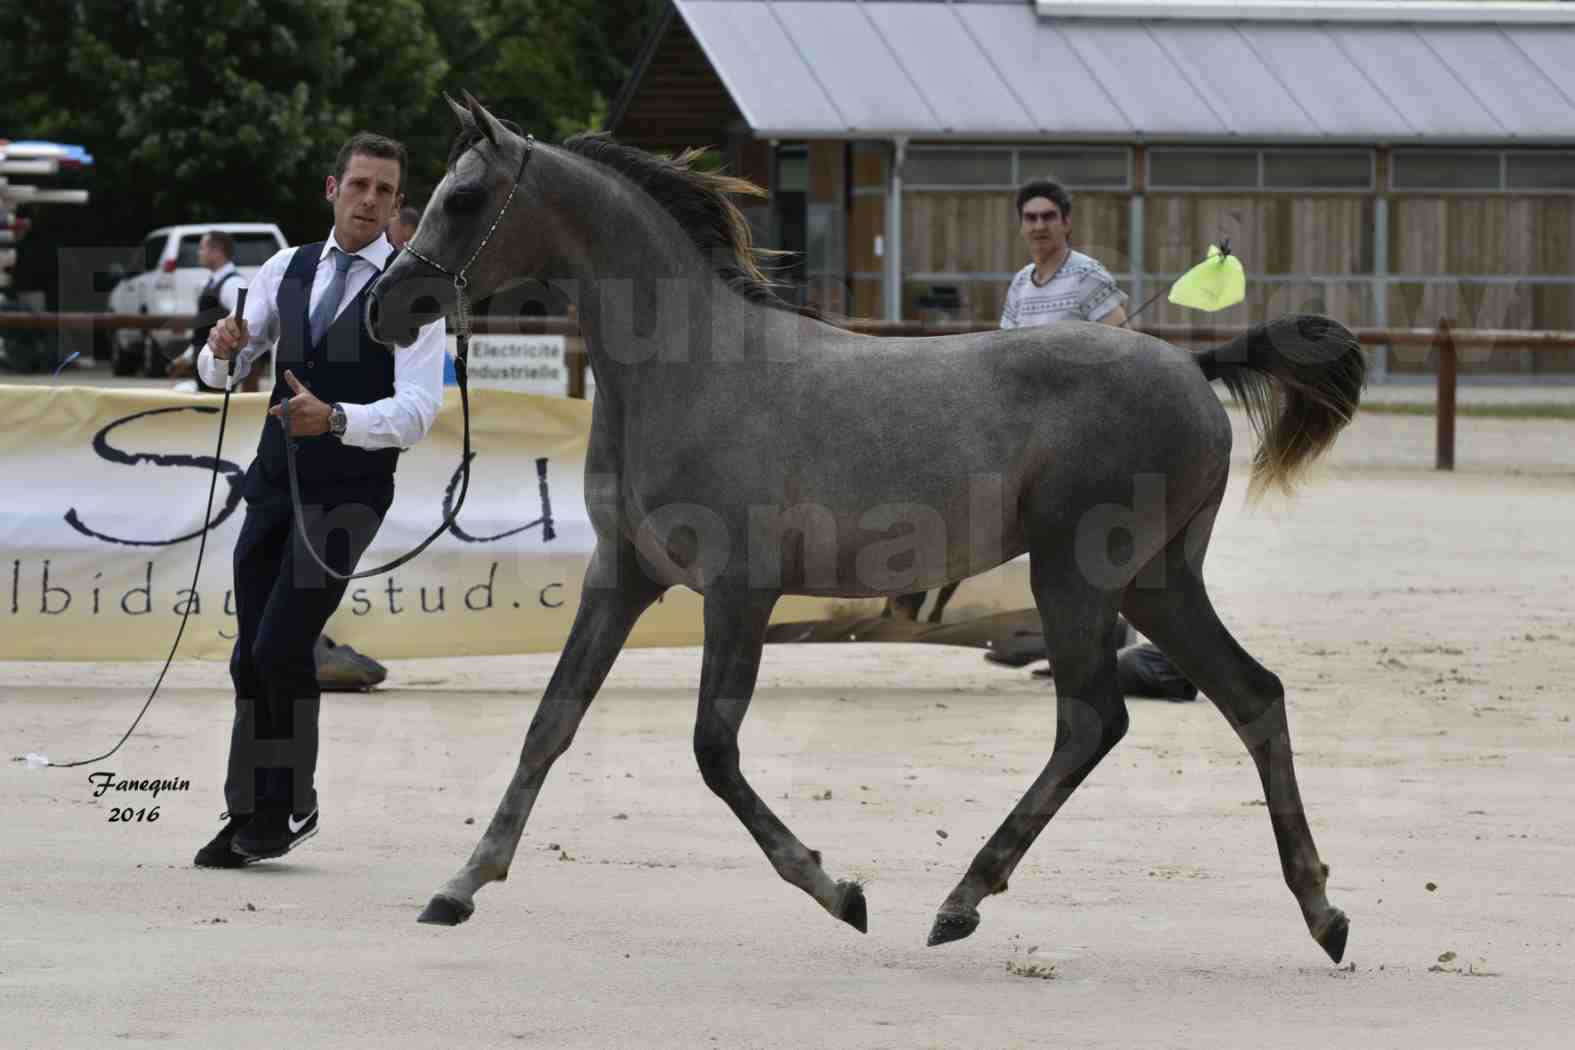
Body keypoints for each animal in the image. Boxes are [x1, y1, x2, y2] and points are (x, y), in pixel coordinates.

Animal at [368, 94, 1367, 963]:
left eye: (463, 198)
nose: (388, 307)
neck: (690, 373)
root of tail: (1193, 369)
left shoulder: (739, 592)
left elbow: (712, 750)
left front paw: (837, 891)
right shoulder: (623, 578)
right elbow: (551, 723)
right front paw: (458, 887)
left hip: (1074, 575)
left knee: (1094, 721)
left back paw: (961, 901)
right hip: (1156, 582)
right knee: (1250, 695)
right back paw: (1320, 911)